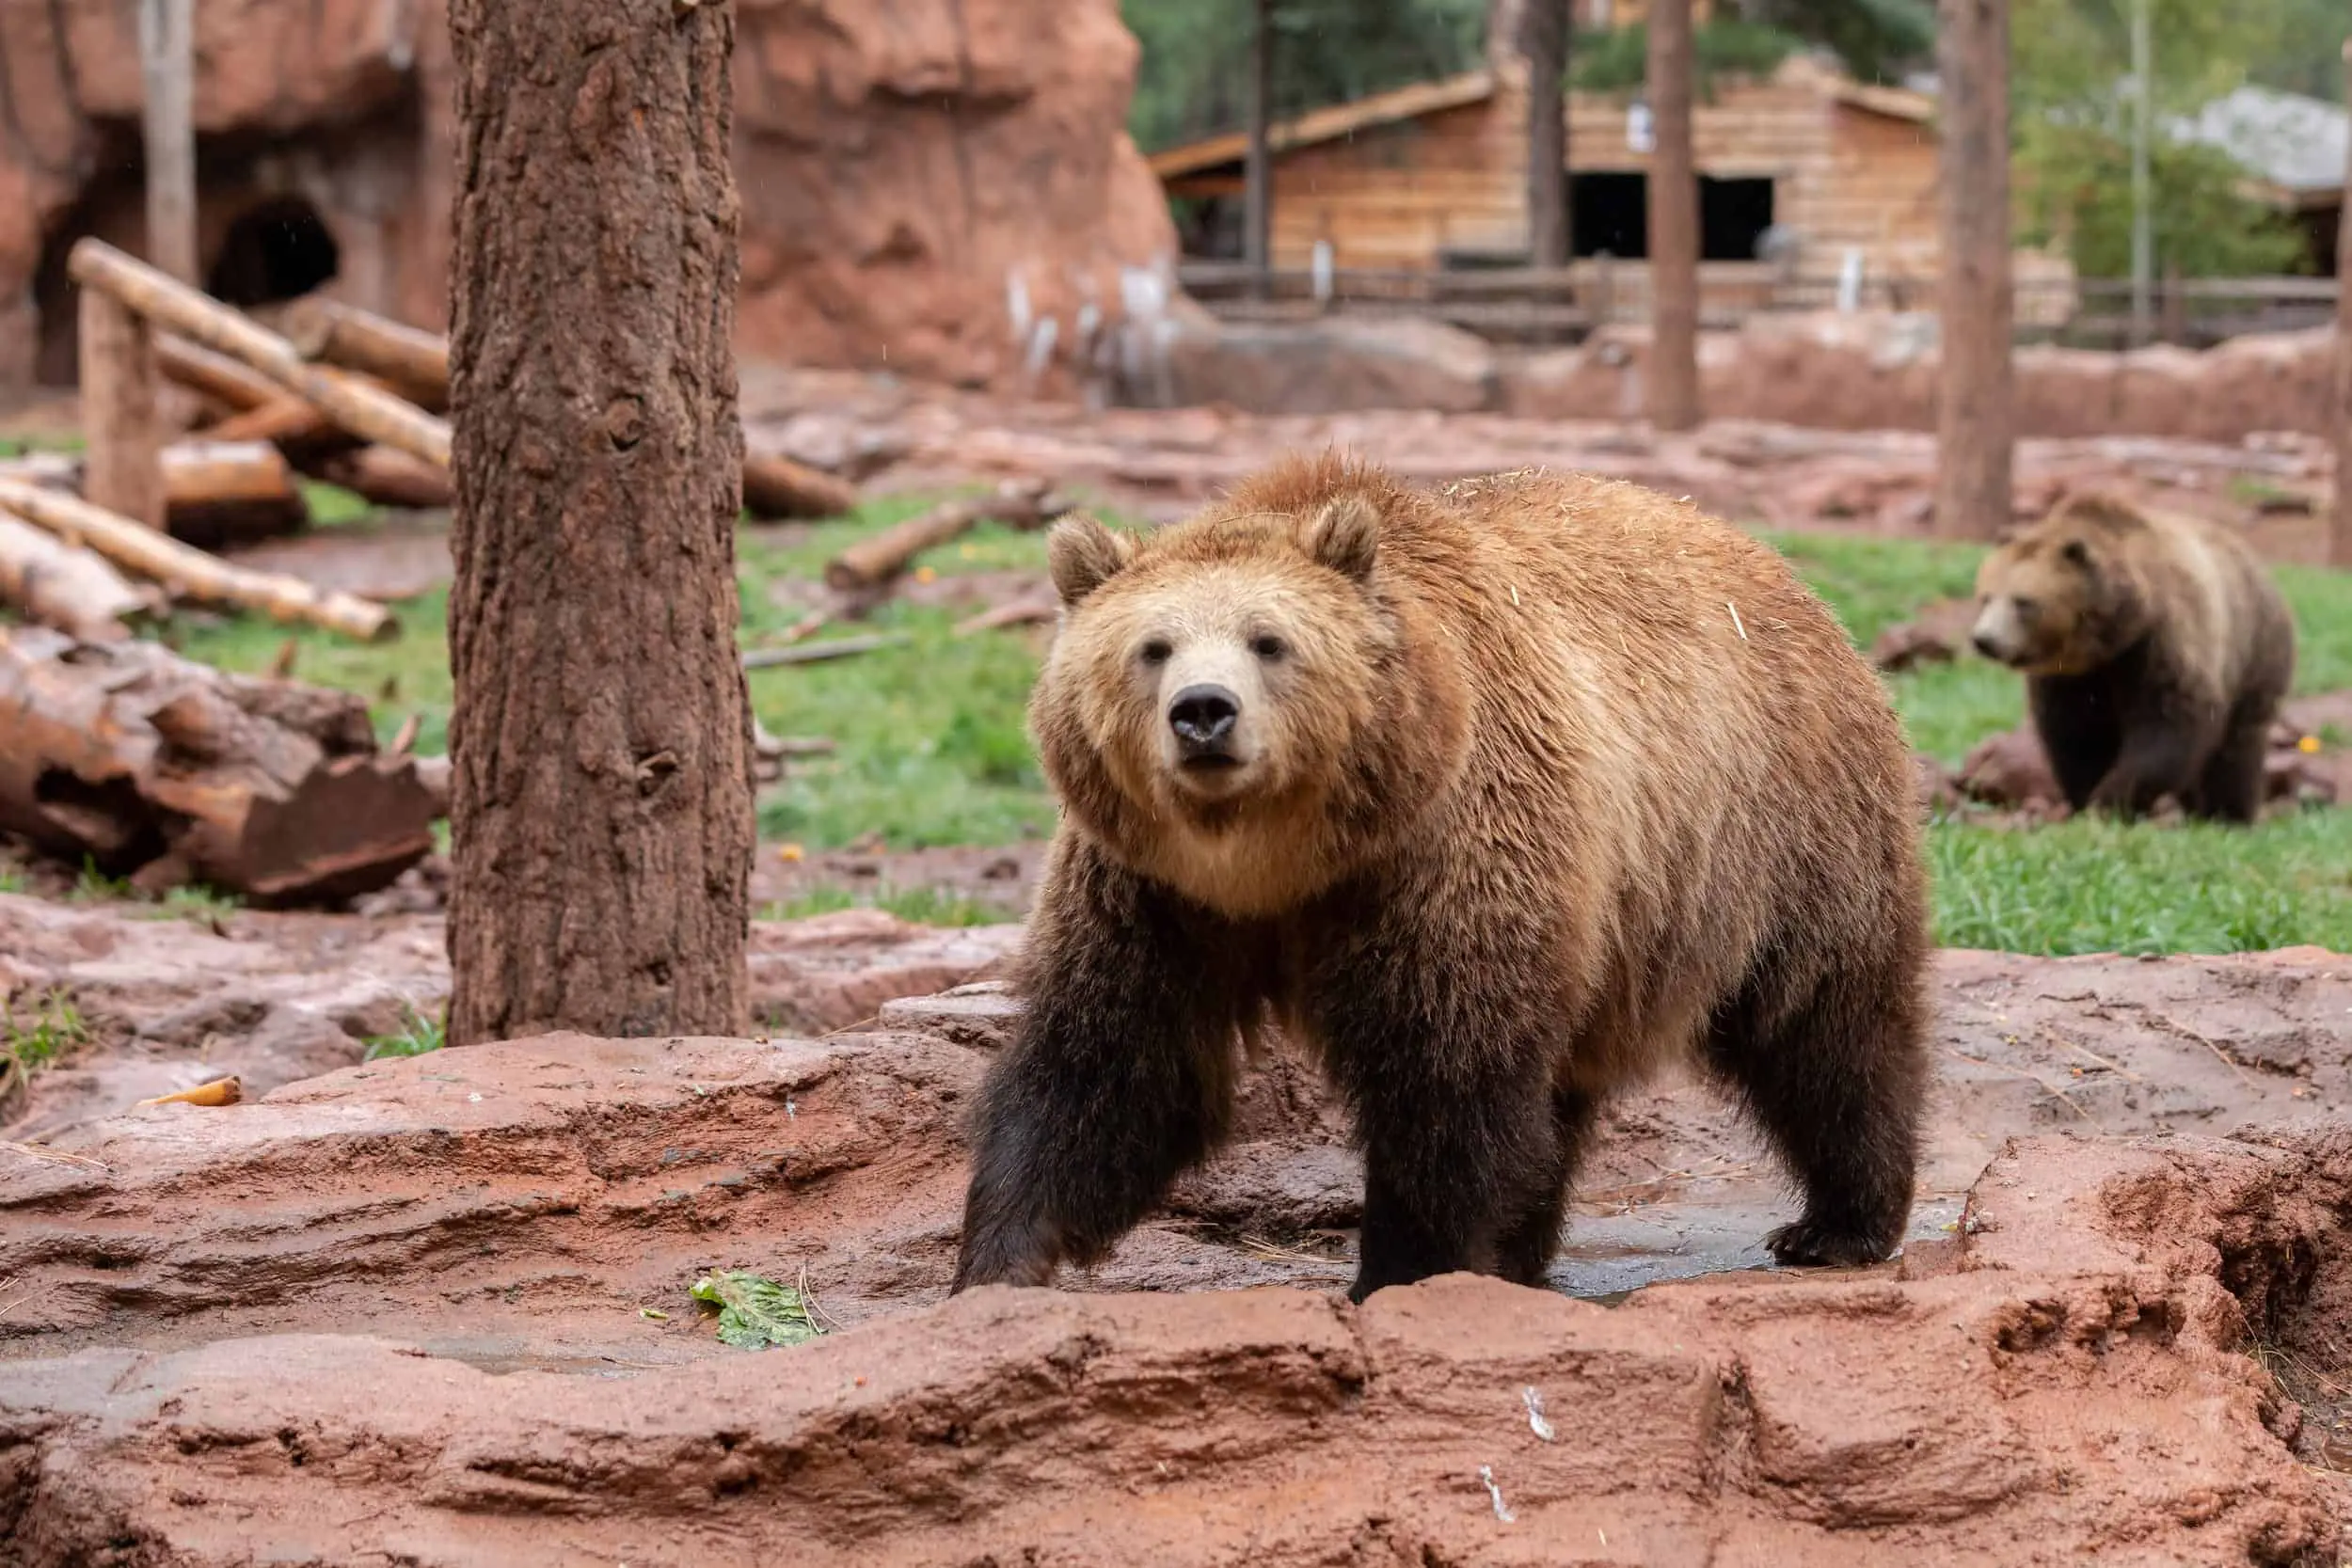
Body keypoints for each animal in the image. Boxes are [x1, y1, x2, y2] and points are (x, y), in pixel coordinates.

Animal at [950, 454, 1931, 1304]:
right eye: (1152, 646)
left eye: (1269, 642)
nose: (1203, 714)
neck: (1270, 862)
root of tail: (1780, 571)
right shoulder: (1149, 892)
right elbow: (1109, 1061)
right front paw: (997, 1265)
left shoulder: (1443, 850)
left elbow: (1446, 1075)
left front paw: (1406, 1271)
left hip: (1779, 831)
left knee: (1823, 1025)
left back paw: (1838, 1222)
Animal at [1969, 490, 2295, 825]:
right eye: (1985, 597)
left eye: (2023, 602)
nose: (1984, 640)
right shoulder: (2070, 677)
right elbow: (2075, 734)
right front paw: (2086, 796)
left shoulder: (2159, 644)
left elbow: (2167, 725)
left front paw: (2110, 800)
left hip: (2254, 648)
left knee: (2237, 744)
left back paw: (2227, 813)